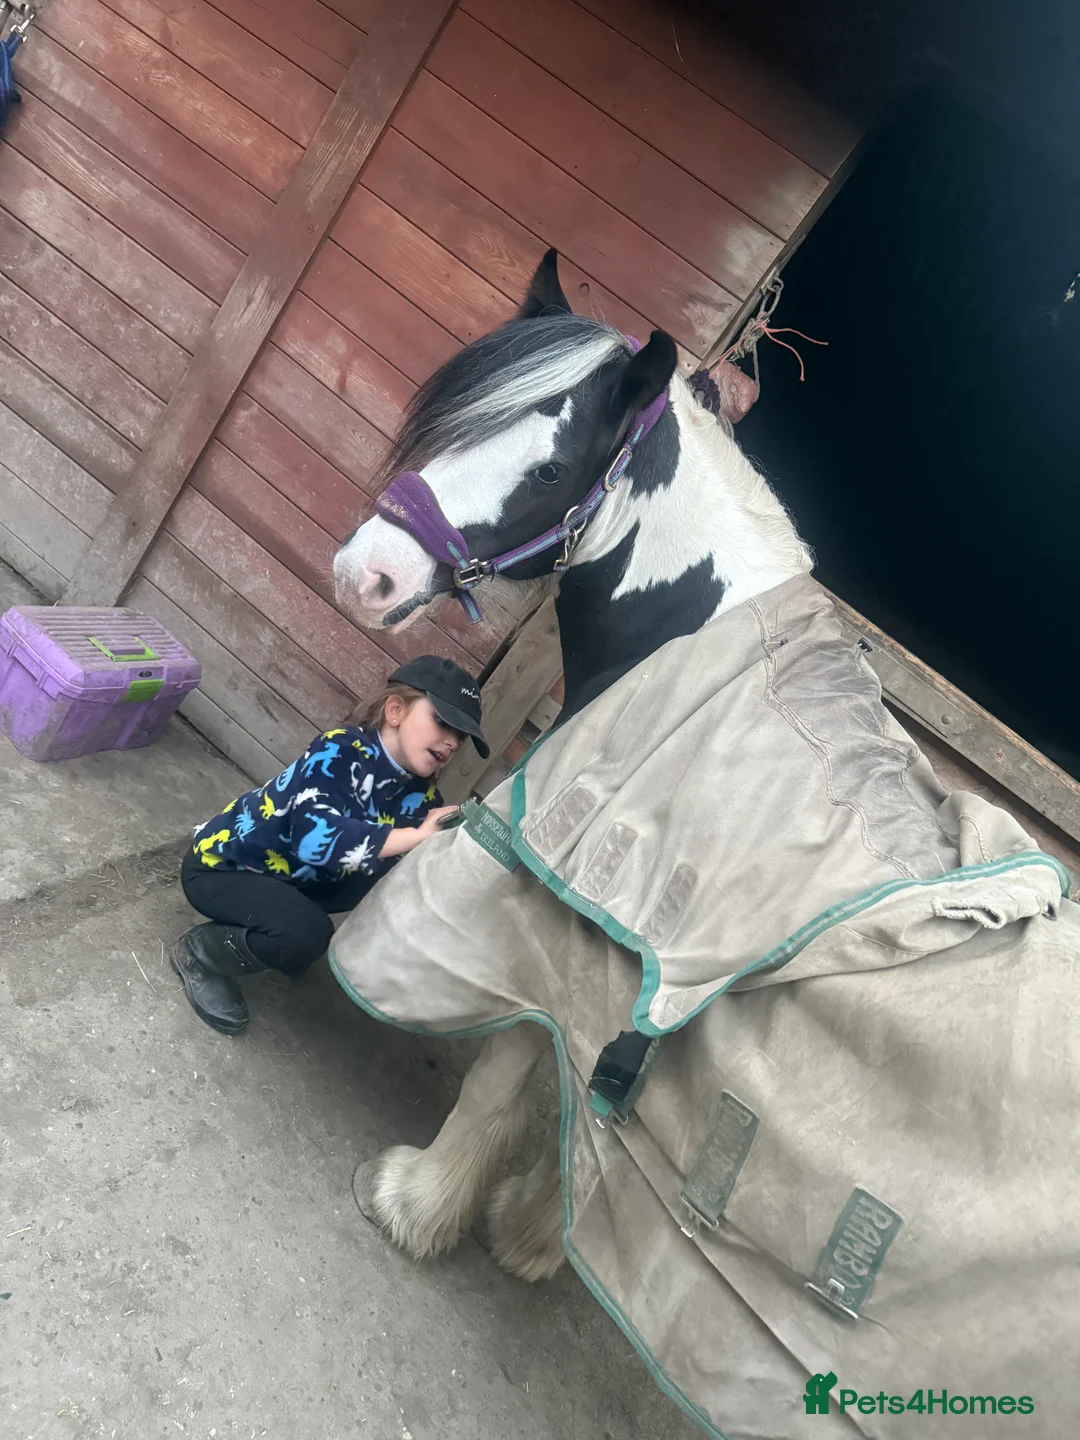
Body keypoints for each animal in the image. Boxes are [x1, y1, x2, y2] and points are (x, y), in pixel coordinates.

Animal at [330, 251, 1079, 1438]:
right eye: (453, 424)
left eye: (550, 470)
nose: (364, 576)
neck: (705, 645)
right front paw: (538, 1233)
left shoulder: (549, 916)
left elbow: (507, 1070)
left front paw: (419, 1203)